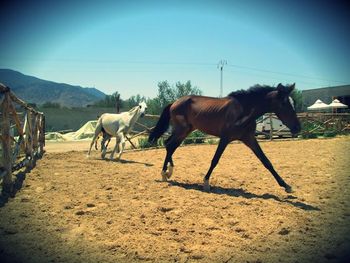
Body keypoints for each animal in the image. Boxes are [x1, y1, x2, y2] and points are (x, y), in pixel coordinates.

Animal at [148, 84, 300, 194]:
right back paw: (164, 174)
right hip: (182, 130)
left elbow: (266, 161)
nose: (298, 128)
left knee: (169, 145)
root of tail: (174, 102)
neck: (243, 111)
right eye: (284, 103)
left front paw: (286, 185)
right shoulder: (225, 138)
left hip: (186, 130)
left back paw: (168, 172)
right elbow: (215, 160)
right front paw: (206, 183)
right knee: (169, 145)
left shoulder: (249, 138)